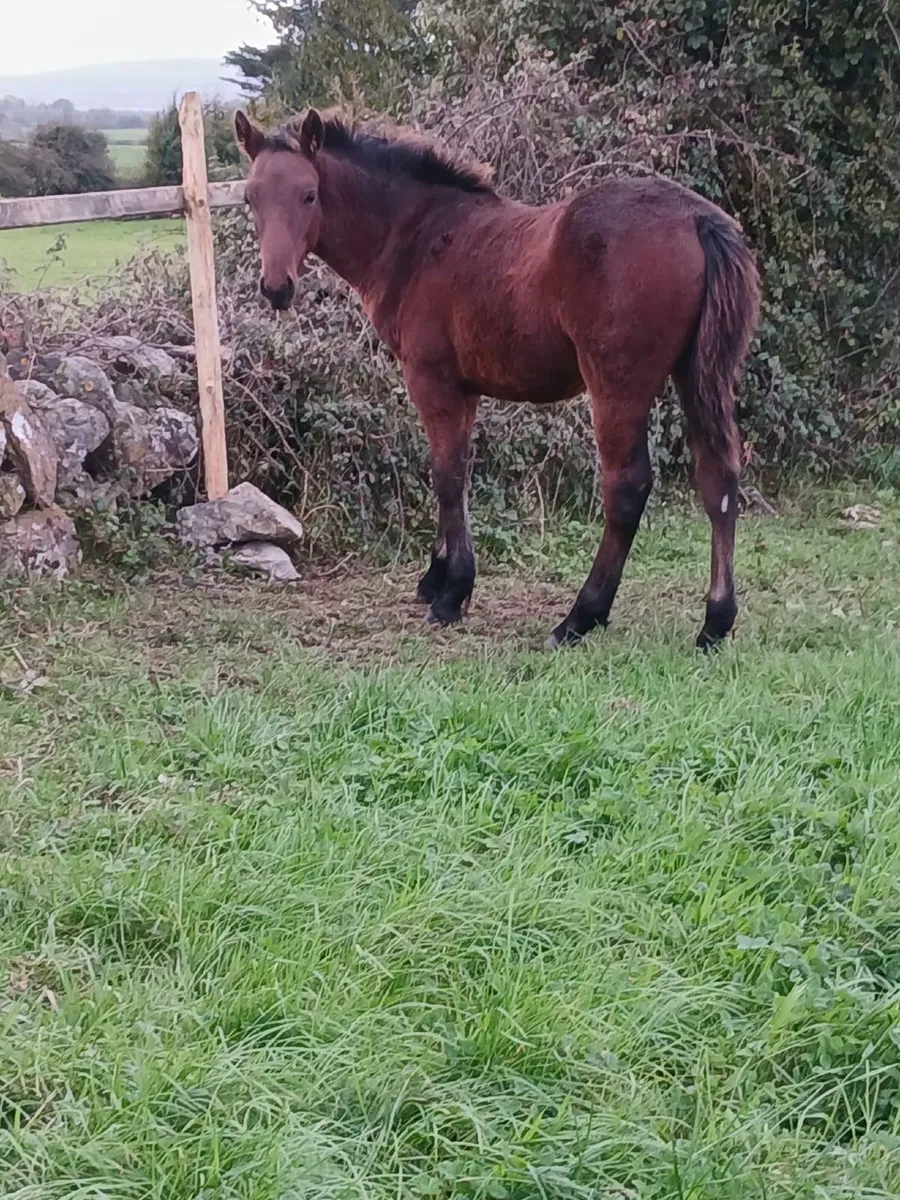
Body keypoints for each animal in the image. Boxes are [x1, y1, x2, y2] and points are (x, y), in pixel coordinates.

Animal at [234, 108, 760, 650]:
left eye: (309, 194)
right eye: (250, 197)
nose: (276, 287)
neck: (416, 235)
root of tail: (697, 219)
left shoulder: (432, 381)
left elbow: (446, 475)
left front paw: (452, 594)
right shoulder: (464, 390)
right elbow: (457, 474)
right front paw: (437, 577)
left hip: (617, 386)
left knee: (627, 488)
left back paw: (580, 617)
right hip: (699, 376)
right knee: (719, 479)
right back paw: (715, 623)